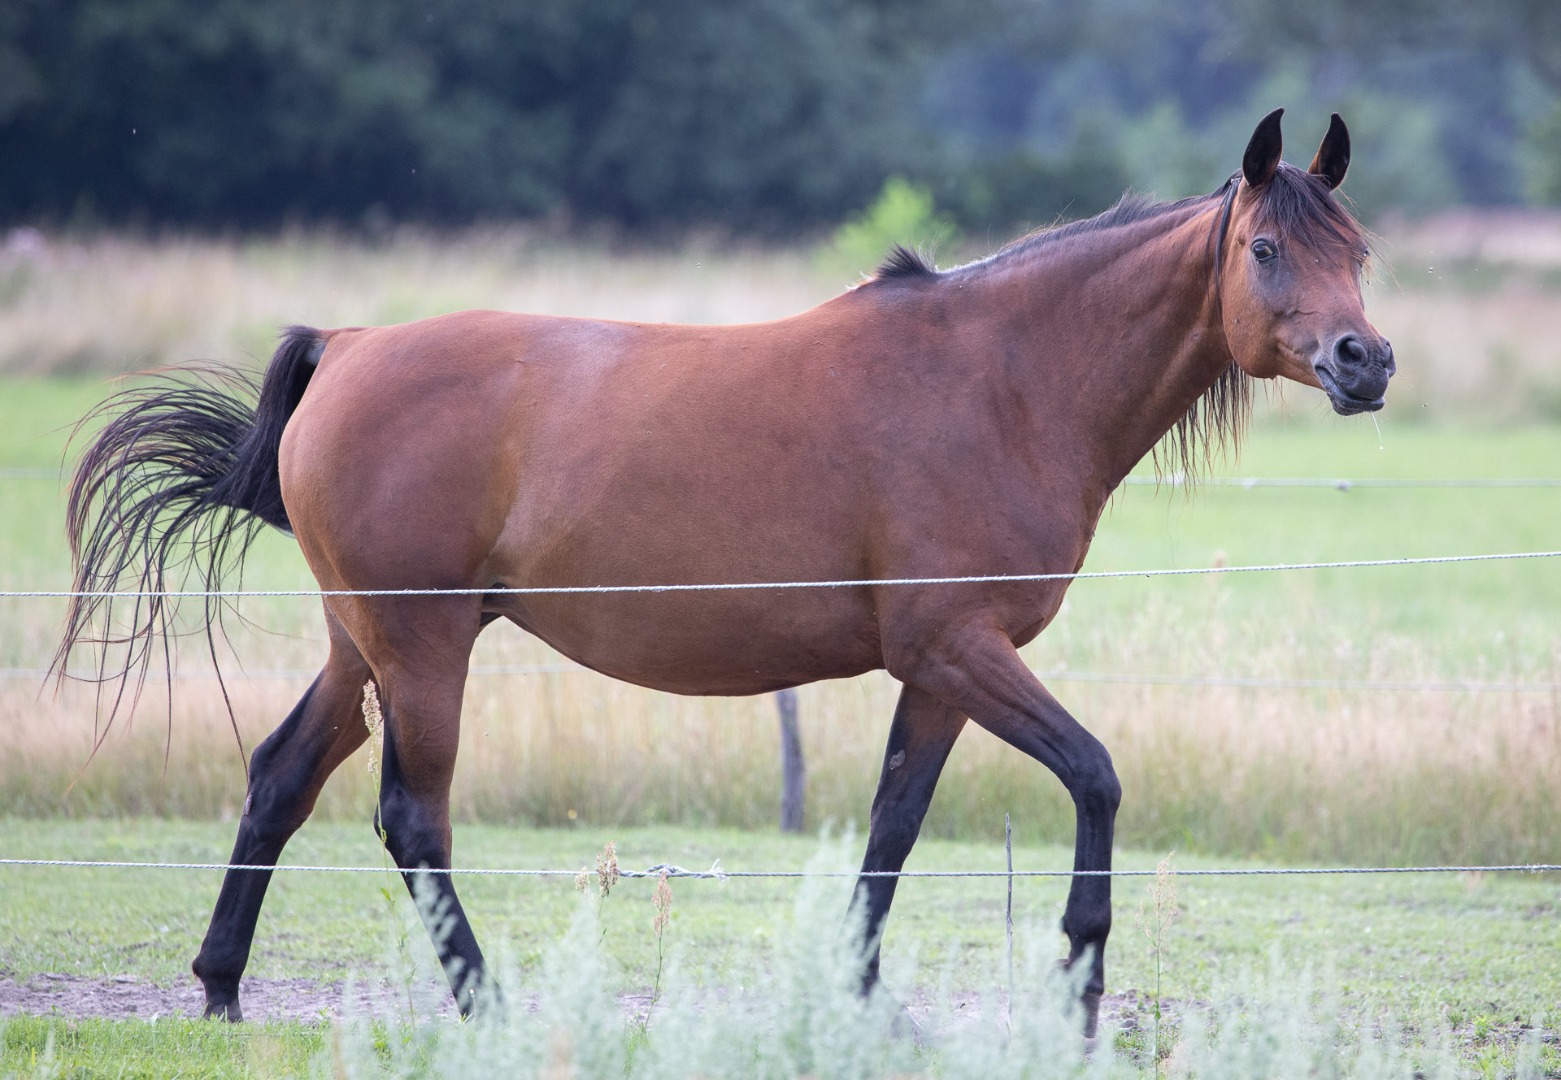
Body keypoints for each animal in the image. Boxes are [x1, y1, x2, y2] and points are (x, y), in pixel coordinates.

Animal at [55, 111, 1392, 1036]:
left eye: (1361, 252)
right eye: (1265, 248)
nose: (1364, 360)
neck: (1004, 379)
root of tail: (351, 345)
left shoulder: (937, 672)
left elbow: (893, 826)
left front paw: (863, 1000)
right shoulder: (958, 648)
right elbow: (1096, 777)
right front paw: (1078, 985)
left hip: (363, 646)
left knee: (280, 777)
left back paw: (222, 990)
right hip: (423, 650)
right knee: (410, 818)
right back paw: (485, 1006)